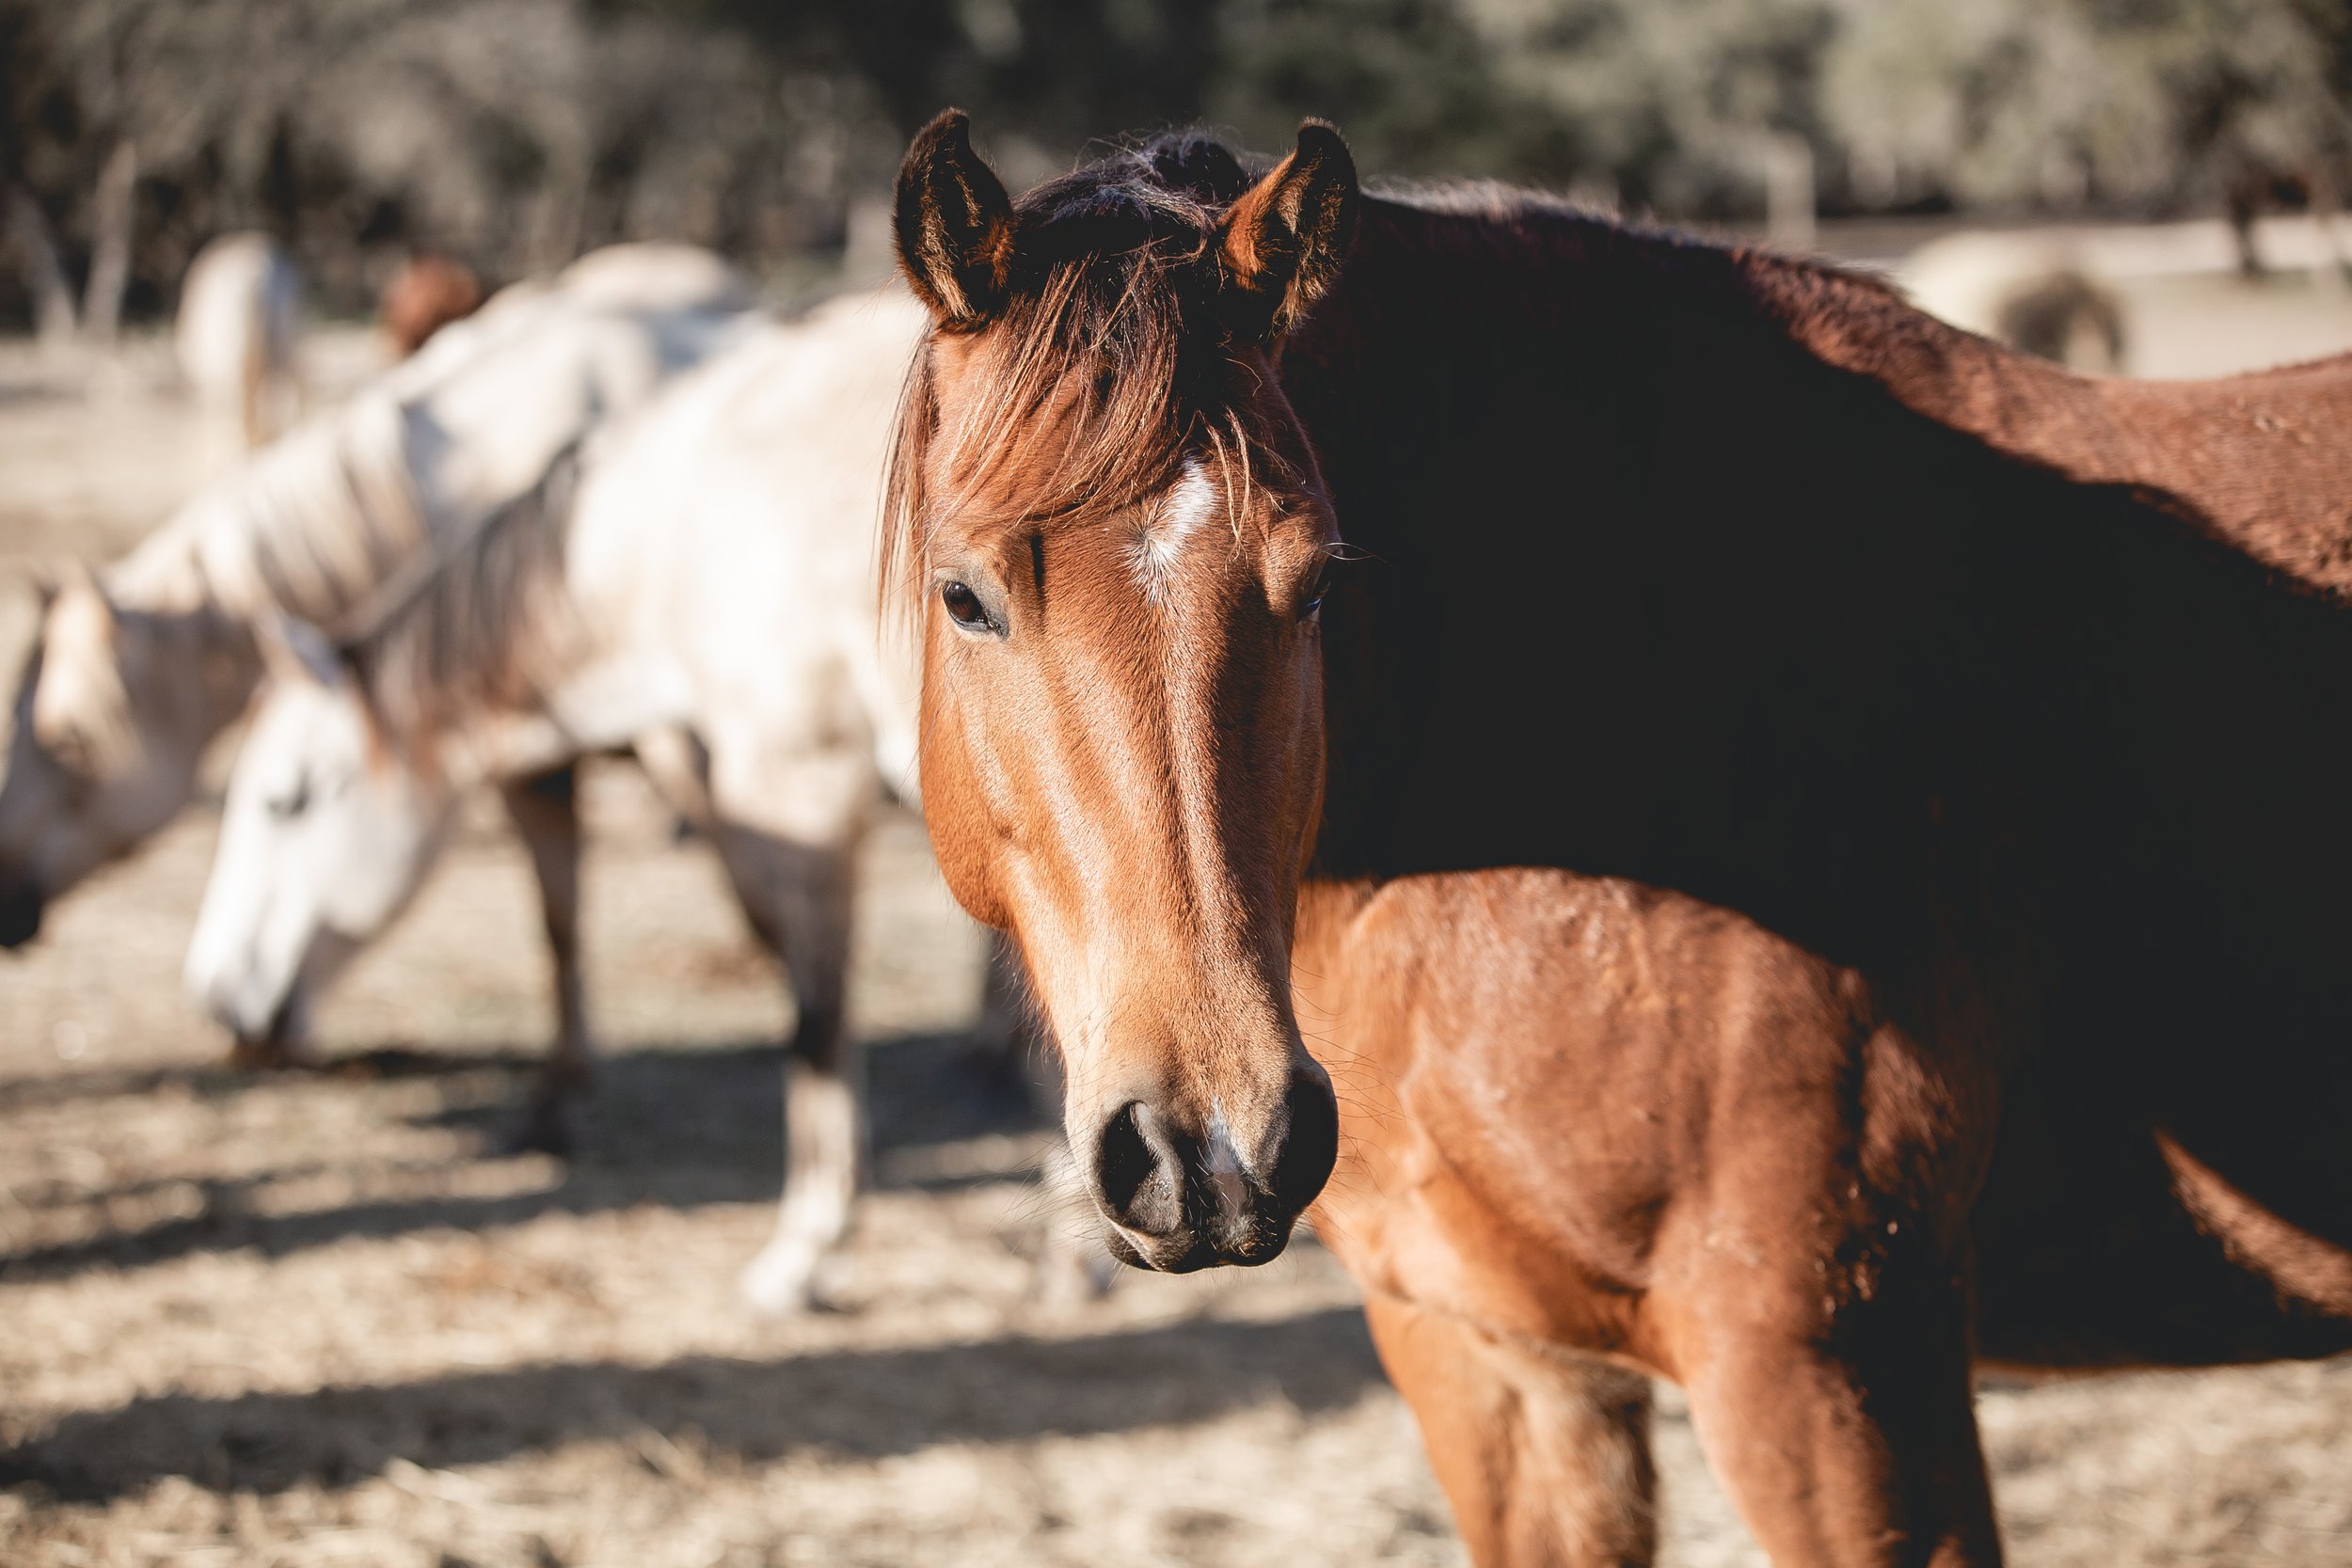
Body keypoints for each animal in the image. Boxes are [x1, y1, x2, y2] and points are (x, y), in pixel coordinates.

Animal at [187, 291, 980, 1312]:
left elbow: (819, 1015)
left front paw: (808, 1247)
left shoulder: (802, 789)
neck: (684, 529)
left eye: (287, 801)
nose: (213, 992)